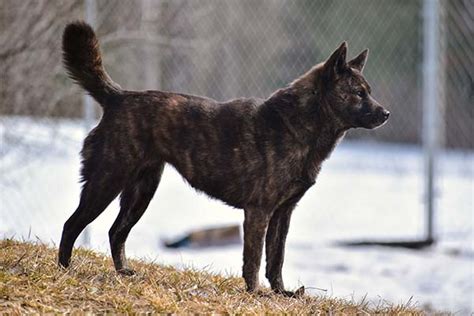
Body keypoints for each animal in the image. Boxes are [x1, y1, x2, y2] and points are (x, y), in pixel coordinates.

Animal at [58, 21, 388, 296]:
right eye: (358, 93)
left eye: (369, 91)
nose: (386, 113)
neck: (297, 125)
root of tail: (118, 96)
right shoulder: (258, 211)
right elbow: (254, 260)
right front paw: (255, 294)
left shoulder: (283, 213)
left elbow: (276, 260)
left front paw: (282, 293)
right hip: (105, 182)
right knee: (71, 224)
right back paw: (64, 269)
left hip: (141, 192)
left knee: (116, 232)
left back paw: (123, 272)